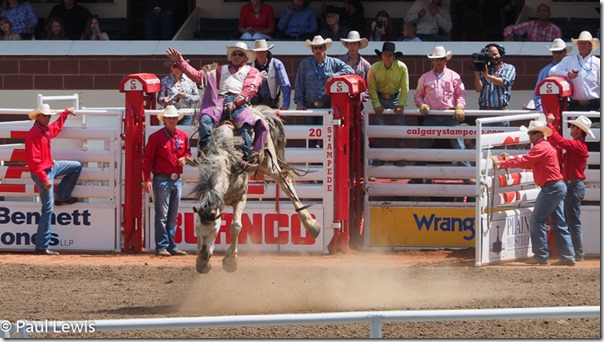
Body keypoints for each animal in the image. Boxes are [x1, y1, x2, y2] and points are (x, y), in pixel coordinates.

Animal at [191, 105, 324, 274]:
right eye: (197, 231)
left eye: (214, 231)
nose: (202, 264)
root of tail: (256, 110)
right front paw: (202, 261)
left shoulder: (241, 196)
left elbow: (236, 226)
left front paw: (230, 261)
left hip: (269, 163)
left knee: (285, 182)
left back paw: (312, 226)